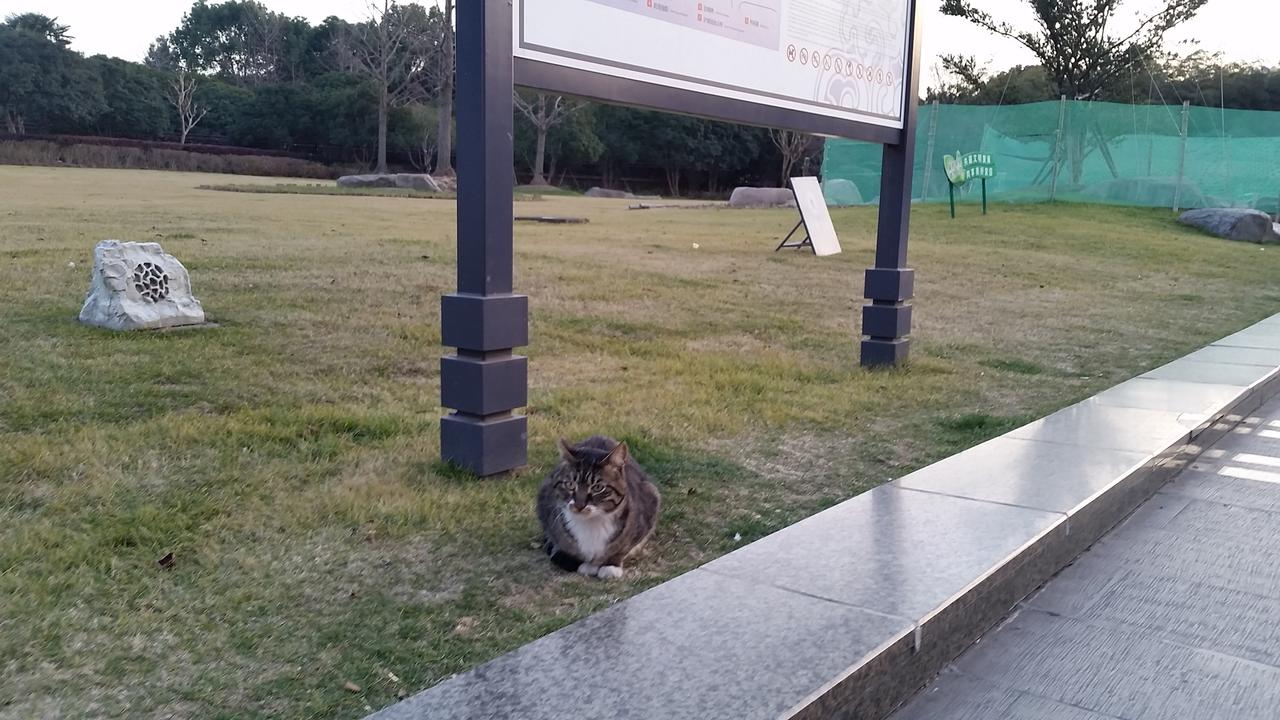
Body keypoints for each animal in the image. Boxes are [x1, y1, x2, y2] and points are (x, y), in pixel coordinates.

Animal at [537, 430, 660, 576]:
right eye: (570, 484)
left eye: (597, 487)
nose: (579, 505)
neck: (591, 524)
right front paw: (586, 565)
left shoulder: (649, 505)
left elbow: (623, 548)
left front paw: (611, 566)